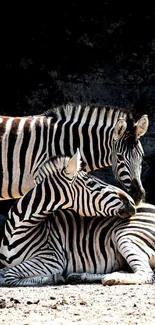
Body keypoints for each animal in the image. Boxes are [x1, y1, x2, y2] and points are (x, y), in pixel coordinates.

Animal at [0, 201, 155, 284]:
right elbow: (3, 274)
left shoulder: (52, 259)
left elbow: (9, 276)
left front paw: (53, 278)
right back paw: (80, 276)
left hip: (126, 235)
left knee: (146, 273)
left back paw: (112, 279)